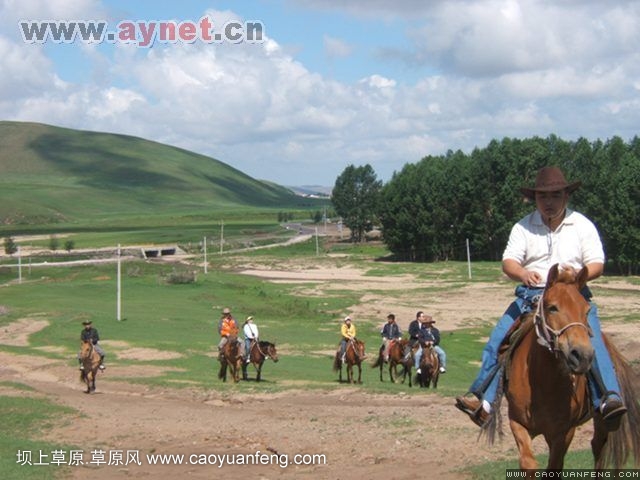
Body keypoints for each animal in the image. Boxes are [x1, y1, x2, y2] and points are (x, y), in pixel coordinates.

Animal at [490, 262, 640, 468]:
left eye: (586, 310)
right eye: (552, 308)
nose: (582, 355)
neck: (541, 381)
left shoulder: (563, 432)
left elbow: (554, 466)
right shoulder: (518, 422)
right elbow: (528, 463)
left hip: (602, 421)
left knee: (598, 448)